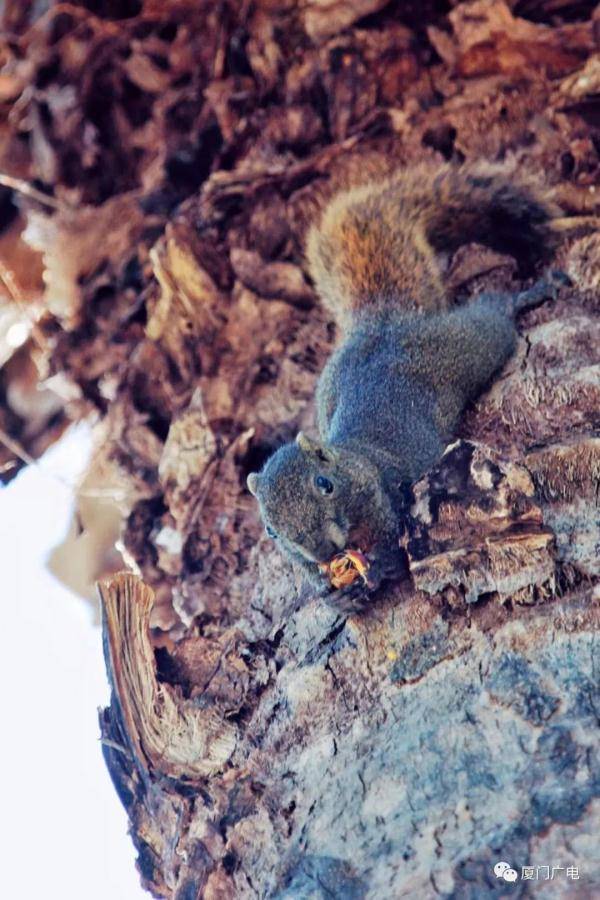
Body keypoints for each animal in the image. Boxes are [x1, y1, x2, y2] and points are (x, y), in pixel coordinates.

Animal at [247, 164, 572, 608]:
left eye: (324, 484)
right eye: (270, 530)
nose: (323, 551)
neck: (355, 462)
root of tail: (384, 321)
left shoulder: (391, 497)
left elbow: (395, 547)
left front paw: (380, 567)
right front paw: (334, 596)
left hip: (467, 343)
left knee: (493, 313)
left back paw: (527, 294)